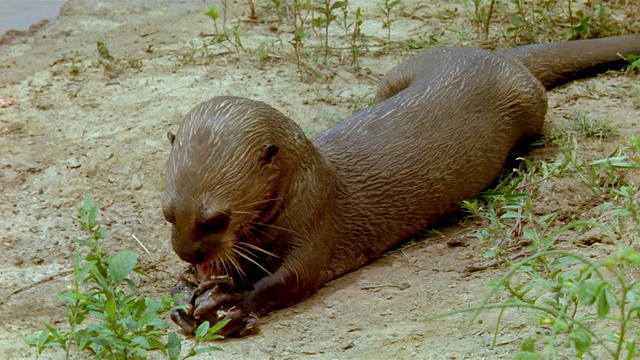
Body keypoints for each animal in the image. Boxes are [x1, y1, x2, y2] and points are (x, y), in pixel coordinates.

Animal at [164, 34, 640, 338]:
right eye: (168, 213)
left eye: (216, 219)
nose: (188, 253)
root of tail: (493, 57)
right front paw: (187, 291)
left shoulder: (316, 223)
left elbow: (290, 280)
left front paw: (232, 302)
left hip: (528, 104)